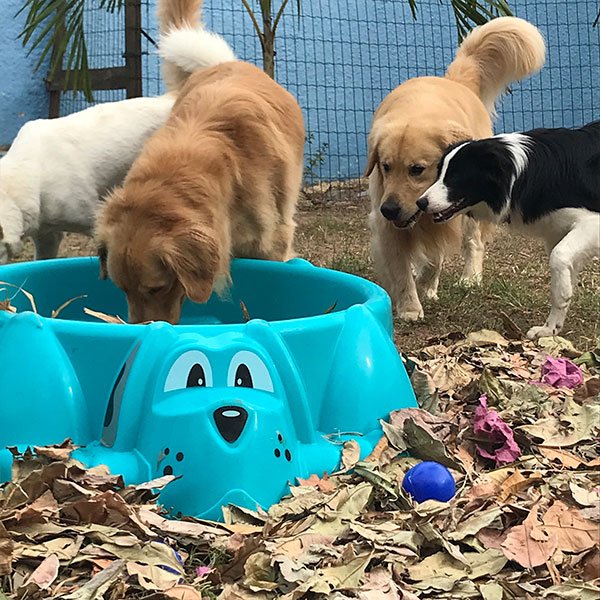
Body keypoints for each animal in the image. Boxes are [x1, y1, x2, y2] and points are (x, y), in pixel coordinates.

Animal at [365, 17, 546, 321]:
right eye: (385, 167)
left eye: (417, 169)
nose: (389, 209)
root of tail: (452, 80)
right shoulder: (389, 222)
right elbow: (402, 268)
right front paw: (410, 305)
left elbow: (436, 256)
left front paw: (422, 290)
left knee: (472, 243)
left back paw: (468, 278)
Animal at [417, 122, 600, 340]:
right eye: (439, 173)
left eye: (454, 176)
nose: (421, 203)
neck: (521, 174)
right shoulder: (558, 231)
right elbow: (562, 278)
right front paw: (550, 329)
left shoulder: (592, 222)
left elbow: (558, 260)